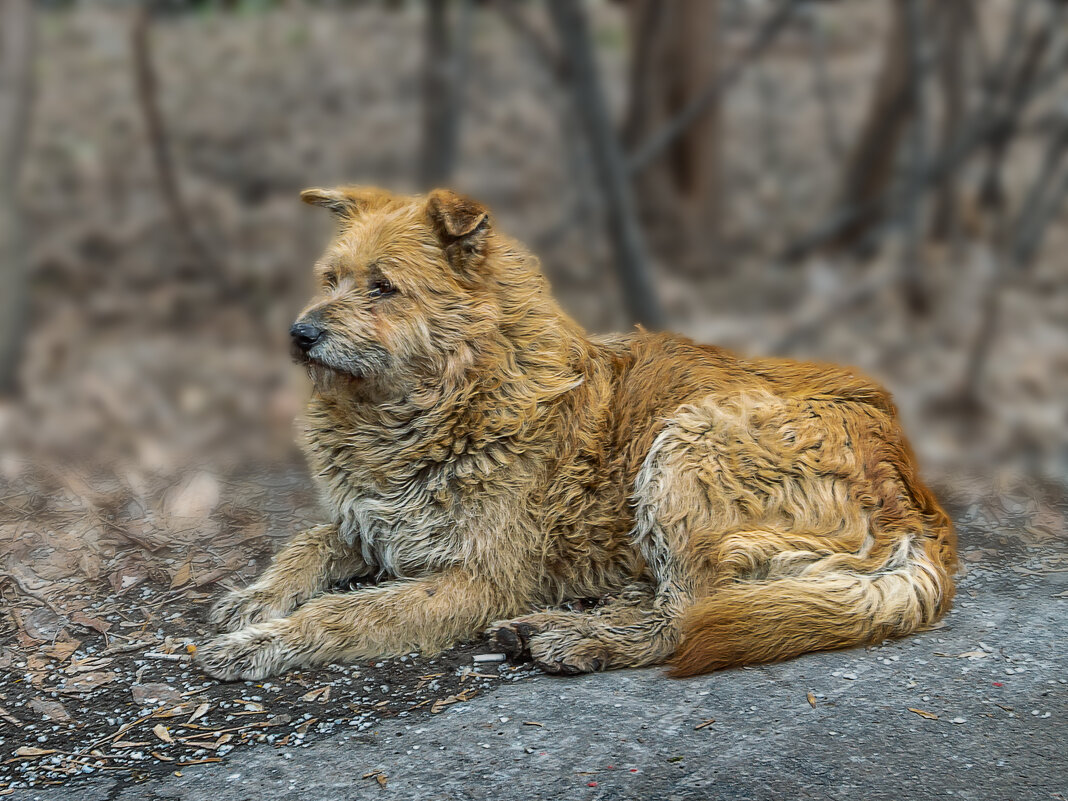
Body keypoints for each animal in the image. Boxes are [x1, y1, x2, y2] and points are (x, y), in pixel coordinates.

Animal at [194, 187, 961, 683]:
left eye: (383, 286)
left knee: (688, 617)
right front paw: (255, 598)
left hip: (685, 445)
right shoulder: (369, 523)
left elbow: (345, 613)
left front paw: (265, 641)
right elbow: (306, 544)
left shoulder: (478, 579)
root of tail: (919, 499)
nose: (298, 334)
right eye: (331, 279)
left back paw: (576, 637)